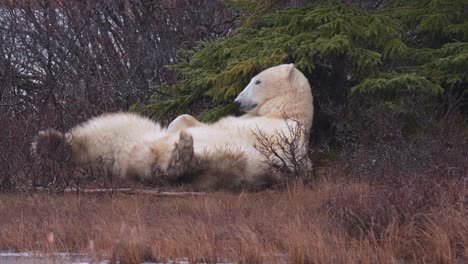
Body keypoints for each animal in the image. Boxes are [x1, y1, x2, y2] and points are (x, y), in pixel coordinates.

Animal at [35, 65, 314, 191]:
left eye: (257, 81)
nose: (236, 100)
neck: (281, 111)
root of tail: (130, 166)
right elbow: (187, 118)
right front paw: (177, 127)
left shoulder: (288, 132)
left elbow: (292, 159)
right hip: (129, 137)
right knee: (107, 131)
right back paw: (51, 143)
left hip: (236, 162)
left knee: (226, 163)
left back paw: (182, 156)